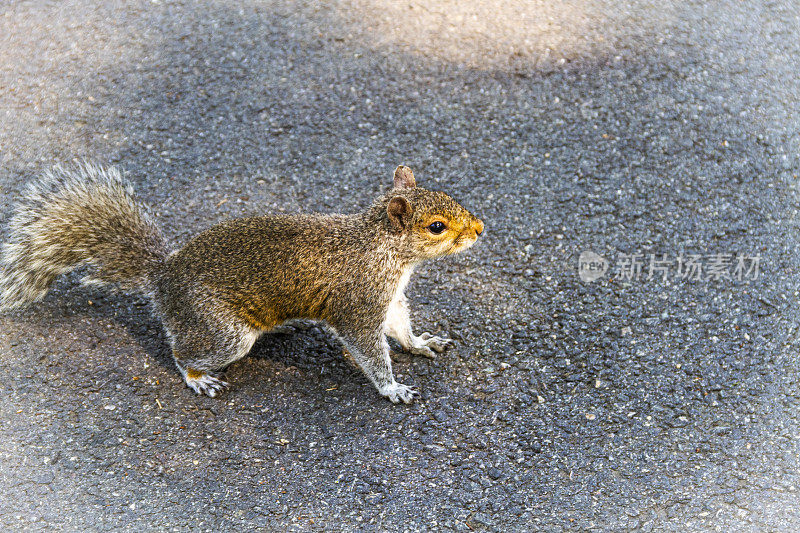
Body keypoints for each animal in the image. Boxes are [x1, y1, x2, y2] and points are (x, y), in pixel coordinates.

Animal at [0, 162, 482, 404]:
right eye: (437, 227)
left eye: (451, 197)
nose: (479, 230)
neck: (383, 248)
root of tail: (163, 278)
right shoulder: (359, 302)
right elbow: (368, 346)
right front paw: (392, 388)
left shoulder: (390, 297)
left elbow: (399, 326)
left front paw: (419, 343)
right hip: (223, 332)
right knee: (184, 353)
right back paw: (198, 378)